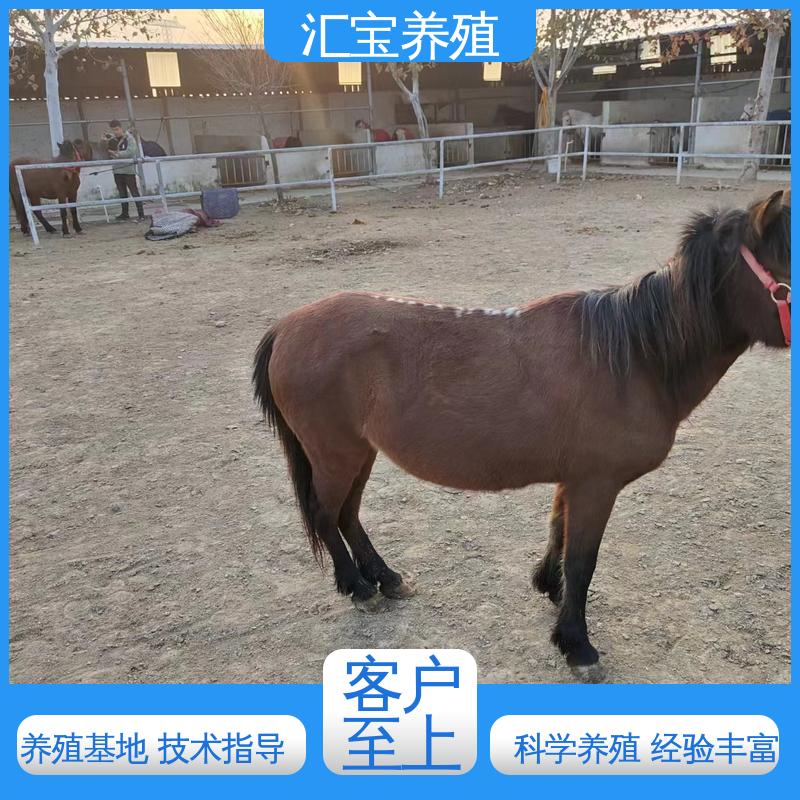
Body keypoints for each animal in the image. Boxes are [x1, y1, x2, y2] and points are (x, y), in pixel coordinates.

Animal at [253, 190, 790, 671]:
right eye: (788, 272)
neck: (636, 359)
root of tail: (287, 326)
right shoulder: (597, 484)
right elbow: (583, 561)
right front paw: (577, 644)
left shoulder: (576, 480)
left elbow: (559, 533)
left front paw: (550, 589)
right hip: (335, 453)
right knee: (326, 515)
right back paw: (360, 587)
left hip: (360, 452)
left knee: (347, 515)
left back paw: (384, 577)